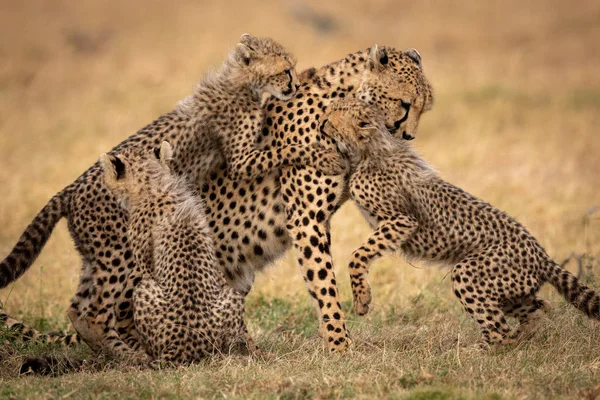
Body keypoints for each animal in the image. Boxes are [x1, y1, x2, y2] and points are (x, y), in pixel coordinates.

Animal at [0, 44, 432, 354]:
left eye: (424, 108)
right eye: (404, 104)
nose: (408, 136)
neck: (348, 99)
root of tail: (70, 188)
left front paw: (357, 308)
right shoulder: (306, 219)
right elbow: (324, 285)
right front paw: (342, 348)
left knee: (87, 307)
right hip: (126, 257)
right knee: (99, 313)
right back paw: (133, 354)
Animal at [322, 98, 596, 346]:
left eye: (335, 114)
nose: (323, 121)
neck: (370, 149)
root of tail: (541, 254)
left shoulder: (401, 220)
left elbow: (358, 255)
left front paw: (362, 300)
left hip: (468, 273)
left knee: (500, 330)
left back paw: (475, 351)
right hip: (510, 291)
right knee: (537, 309)